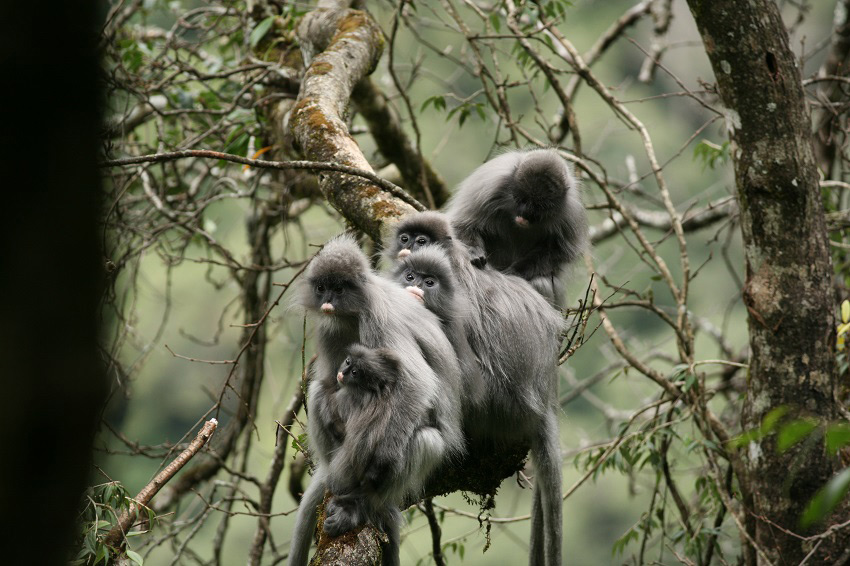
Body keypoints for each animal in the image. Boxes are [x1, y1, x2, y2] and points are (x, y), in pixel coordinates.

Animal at [290, 235, 464, 566]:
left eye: (339, 289)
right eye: (322, 288)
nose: (328, 300)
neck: (353, 311)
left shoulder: (379, 318)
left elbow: (417, 383)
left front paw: (380, 461)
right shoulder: (329, 328)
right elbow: (329, 383)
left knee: (426, 438)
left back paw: (362, 503)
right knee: (318, 390)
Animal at [440, 148, 588, 306]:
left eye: (538, 207)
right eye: (521, 199)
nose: (524, 214)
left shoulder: (570, 211)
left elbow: (560, 252)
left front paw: (516, 271)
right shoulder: (490, 185)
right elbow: (463, 224)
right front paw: (474, 251)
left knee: (541, 281)